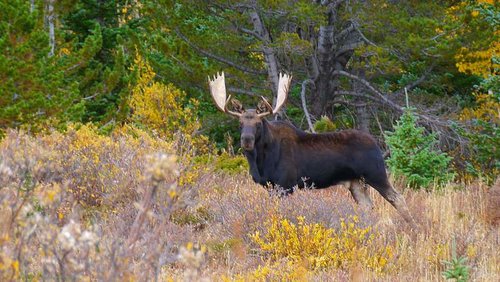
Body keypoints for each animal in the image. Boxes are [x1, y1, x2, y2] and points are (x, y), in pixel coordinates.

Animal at [209, 71, 416, 226]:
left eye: (259, 123)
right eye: (240, 123)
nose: (246, 140)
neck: (260, 161)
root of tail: (376, 144)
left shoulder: (286, 184)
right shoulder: (270, 186)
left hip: (375, 173)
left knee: (398, 198)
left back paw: (413, 227)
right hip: (356, 182)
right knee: (368, 207)